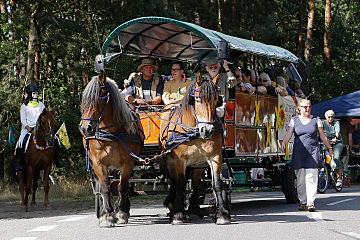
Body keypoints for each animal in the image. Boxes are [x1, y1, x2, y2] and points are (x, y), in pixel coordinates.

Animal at [79, 70, 144, 226]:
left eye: (99, 98)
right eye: (83, 98)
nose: (85, 128)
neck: (112, 133)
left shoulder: (128, 163)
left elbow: (123, 187)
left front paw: (121, 212)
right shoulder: (98, 163)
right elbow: (105, 187)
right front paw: (107, 215)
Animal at [160, 71, 231, 225]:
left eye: (216, 101)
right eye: (197, 100)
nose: (207, 130)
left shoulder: (215, 156)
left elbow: (217, 183)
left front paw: (222, 213)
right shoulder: (179, 160)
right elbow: (180, 183)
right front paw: (178, 214)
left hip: (198, 163)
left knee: (196, 182)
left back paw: (193, 208)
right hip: (170, 161)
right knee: (175, 182)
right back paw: (173, 205)